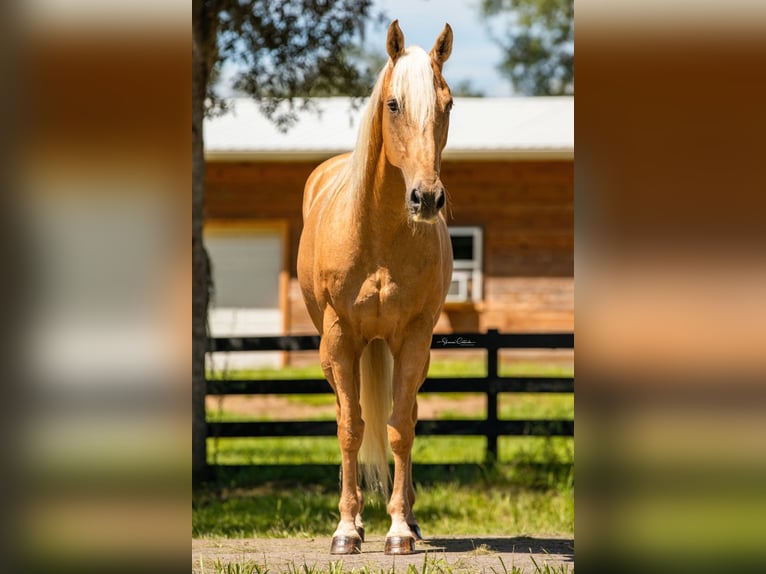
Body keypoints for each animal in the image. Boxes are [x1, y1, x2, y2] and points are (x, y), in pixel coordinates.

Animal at [298, 20, 456, 556]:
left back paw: (409, 518)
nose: (426, 198)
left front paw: (400, 530)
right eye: (393, 104)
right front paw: (347, 529)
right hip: (334, 355)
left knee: (406, 417)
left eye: (448, 103)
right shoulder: (341, 338)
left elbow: (400, 429)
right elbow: (351, 429)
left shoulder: (413, 339)